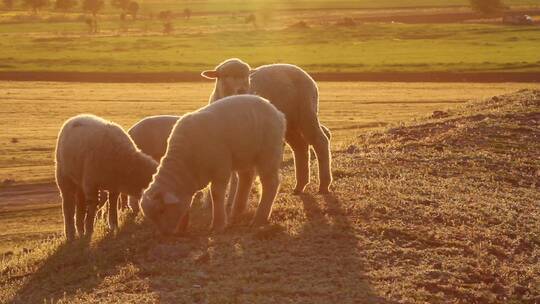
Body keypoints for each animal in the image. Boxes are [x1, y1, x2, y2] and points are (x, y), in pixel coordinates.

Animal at [141, 95, 288, 235]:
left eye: (161, 210)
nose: (165, 234)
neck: (186, 163)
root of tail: (278, 113)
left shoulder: (221, 168)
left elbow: (216, 194)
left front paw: (218, 225)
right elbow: (188, 202)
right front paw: (182, 227)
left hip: (268, 151)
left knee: (271, 183)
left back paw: (259, 219)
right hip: (245, 154)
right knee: (246, 178)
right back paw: (237, 212)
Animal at [200, 58, 332, 194]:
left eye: (247, 76)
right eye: (226, 76)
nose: (242, 90)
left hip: (306, 111)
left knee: (320, 141)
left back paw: (323, 185)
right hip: (290, 123)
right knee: (300, 147)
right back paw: (300, 186)